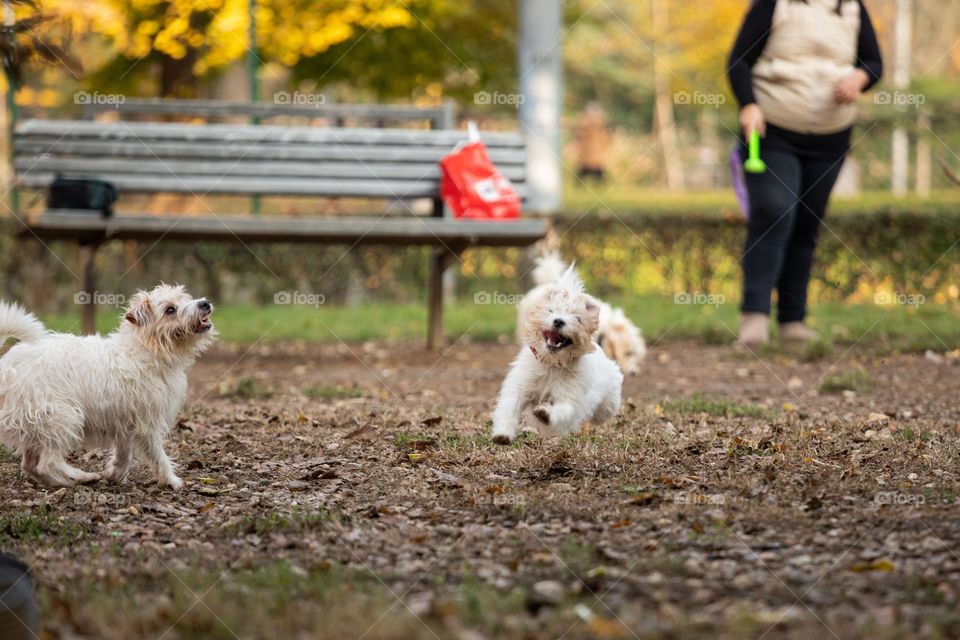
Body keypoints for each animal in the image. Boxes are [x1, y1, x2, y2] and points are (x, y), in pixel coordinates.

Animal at [0, 282, 214, 488]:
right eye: (170, 310)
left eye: (184, 299)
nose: (205, 303)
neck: (145, 349)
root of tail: (7, 365)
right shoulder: (147, 424)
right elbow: (158, 455)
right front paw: (170, 480)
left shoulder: (125, 420)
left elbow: (124, 452)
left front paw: (117, 474)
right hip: (62, 417)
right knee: (48, 464)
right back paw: (81, 477)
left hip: (39, 428)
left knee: (30, 465)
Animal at [492, 262, 628, 442]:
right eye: (551, 311)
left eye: (577, 318)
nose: (558, 321)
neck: (551, 363)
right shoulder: (519, 388)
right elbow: (509, 409)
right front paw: (502, 434)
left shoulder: (570, 398)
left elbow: (562, 410)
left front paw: (545, 413)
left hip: (607, 406)